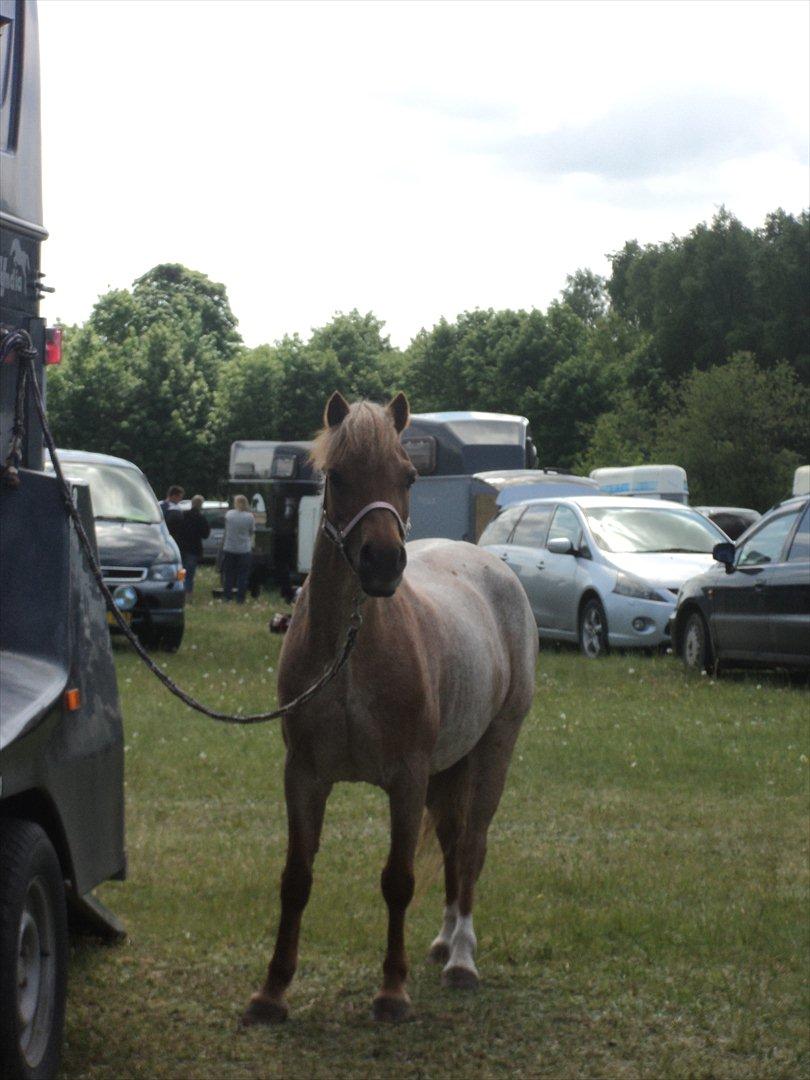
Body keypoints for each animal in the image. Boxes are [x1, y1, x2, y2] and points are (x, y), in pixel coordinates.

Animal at [242, 392, 538, 1024]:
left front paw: (392, 992)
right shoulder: (304, 777)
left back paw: (462, 959)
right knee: (451, 841)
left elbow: (398, 880)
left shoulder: (406, 779)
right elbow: (296, 878)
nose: (382, 562)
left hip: (494, 748)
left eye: (408, 476)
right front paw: (272, 992)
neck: (351, 655)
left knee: (471, 846)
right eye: (335, 476)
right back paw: (445, 941)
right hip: (449, 766)